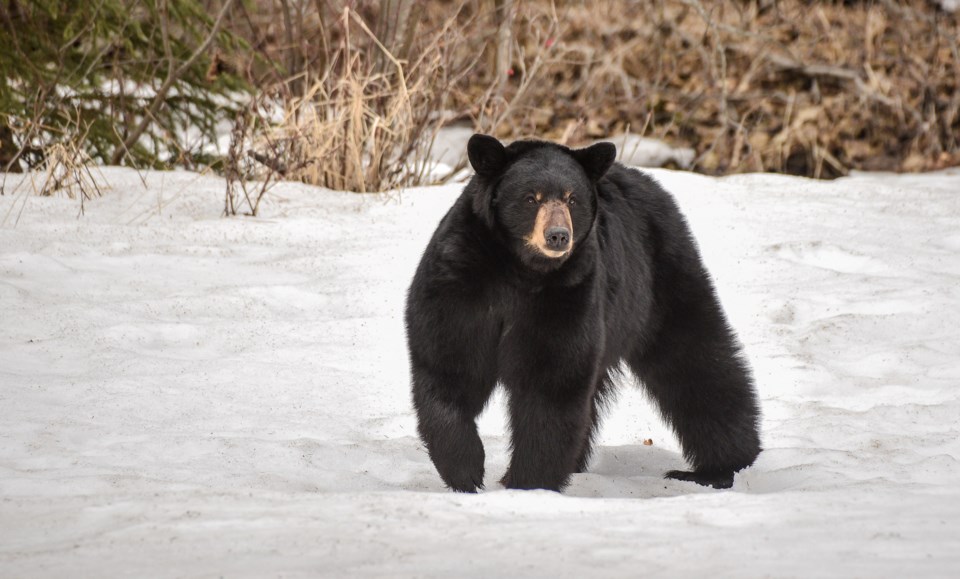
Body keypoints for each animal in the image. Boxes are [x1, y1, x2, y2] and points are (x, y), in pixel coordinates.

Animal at [404, 136, 756, 494]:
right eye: (531, 198)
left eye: (572, 199)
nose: (558, 235)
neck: (520, 270)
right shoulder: (461, 281)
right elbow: (450, 366)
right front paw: (466, 471)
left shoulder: (567, 292)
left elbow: (551, 378)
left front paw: (528, 483)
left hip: (659, 282)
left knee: (696, 358)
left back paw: (720, 467)